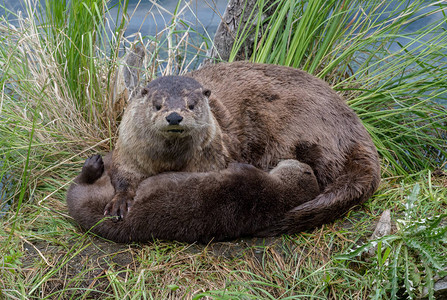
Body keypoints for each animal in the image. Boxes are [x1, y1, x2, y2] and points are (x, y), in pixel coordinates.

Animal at [66, 154, 320, 243]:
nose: (281, 159)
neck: (275, 194)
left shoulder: (249, 178)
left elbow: (238, 167)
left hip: (90, 197)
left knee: (79, 184)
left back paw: (93, 165)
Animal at [78, 61, 382, 237]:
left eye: (192, 105)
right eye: (157, 104)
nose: (174, 116)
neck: (168, 160)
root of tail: (354, 128)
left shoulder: (214, 158)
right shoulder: (128, 149)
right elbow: (123, 174)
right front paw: (119, 202)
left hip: (311, 134)